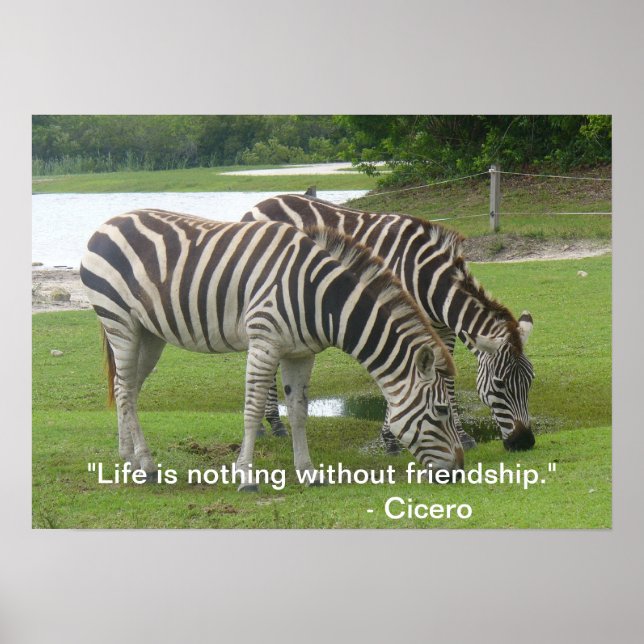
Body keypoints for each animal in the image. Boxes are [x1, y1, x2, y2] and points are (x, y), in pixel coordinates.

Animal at [80, 209, 463, 491]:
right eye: (442, 411)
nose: (460, 470)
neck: (321, 297)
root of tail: (107, 223)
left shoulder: (301, 353)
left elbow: (299, 411)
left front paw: (308, 472)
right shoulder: (264, 342)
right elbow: (252, 411)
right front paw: (246, 476)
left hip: (148, 333)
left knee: (126, 388)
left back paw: (128, 458)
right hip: (120, 322)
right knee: (125, 391)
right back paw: (145, 465)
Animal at [242, 194, 536, 453]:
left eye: (530, 381)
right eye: (499, 384)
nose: (524, 443)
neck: (426, 279)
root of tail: (258, 204)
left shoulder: (444, 330)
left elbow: (447, 381)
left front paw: (462, 436)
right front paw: (391, 439)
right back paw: (273, 424)